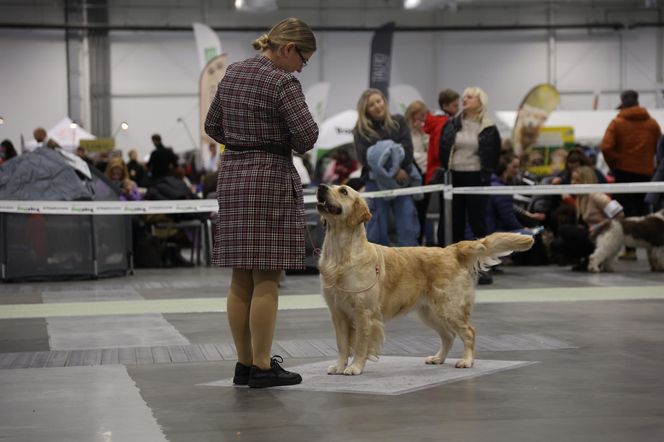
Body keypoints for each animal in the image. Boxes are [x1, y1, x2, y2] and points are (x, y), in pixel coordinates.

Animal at [316, 185, 536, 374]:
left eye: (343, 191)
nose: (321, 187)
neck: (340, 253)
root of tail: (451, 250)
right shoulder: (337, 313)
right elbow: (342, 344)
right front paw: (339, 366)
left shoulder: (364, 313)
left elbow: (361, 344)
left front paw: (355, 367)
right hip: (429, 312)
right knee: (448, 335)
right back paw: (438, 358)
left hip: (449, 307)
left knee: (469, 332)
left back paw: (466, 361)